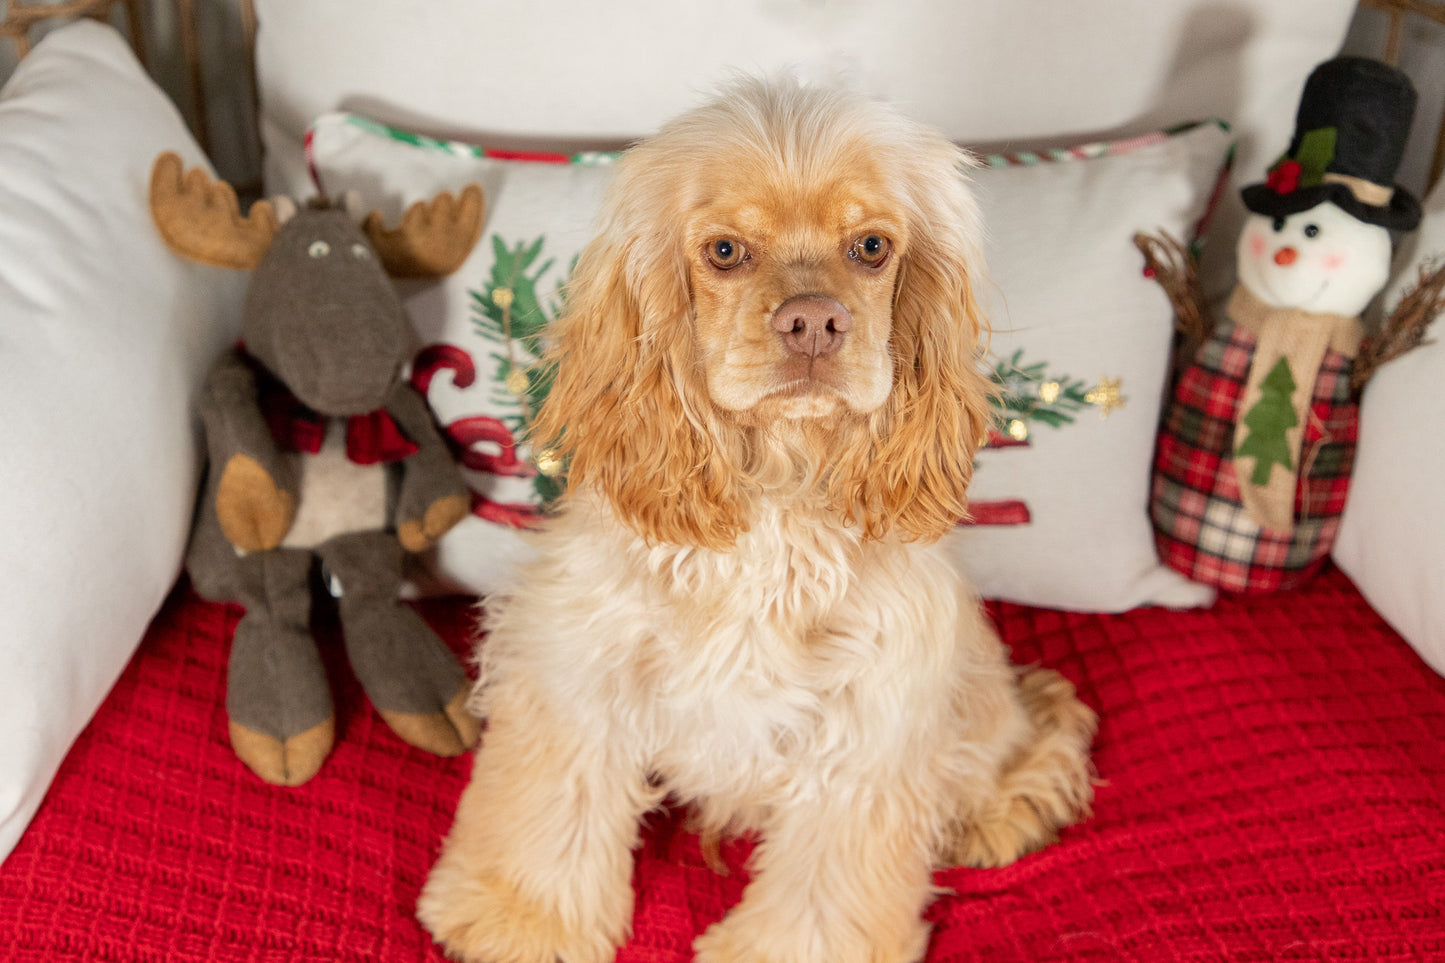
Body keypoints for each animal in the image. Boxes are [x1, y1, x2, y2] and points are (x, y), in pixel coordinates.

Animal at [419, 76, 1092, 960]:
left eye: (870, 246)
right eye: (724, 251)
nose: (813, 322)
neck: (778, 496)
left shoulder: (869, 726)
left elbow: (823, 886)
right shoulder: (577, 663)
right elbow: (551, 803)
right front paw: (517, 916)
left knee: (1020, 741)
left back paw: (997, 814)